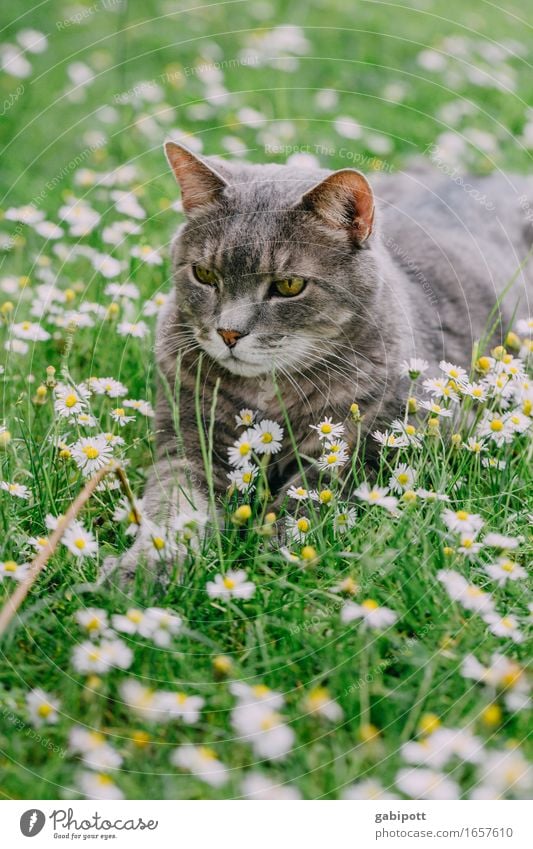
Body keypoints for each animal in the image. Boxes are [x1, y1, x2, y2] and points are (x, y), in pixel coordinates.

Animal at [118, 141, 528, 576]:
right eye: (205, 275)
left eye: (288, 285)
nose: (229, 332)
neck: (269, 396)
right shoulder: (188, 439)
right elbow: (174, 508)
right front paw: (145, 569)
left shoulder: (396, 435)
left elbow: (317, 490)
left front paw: (277, 555)